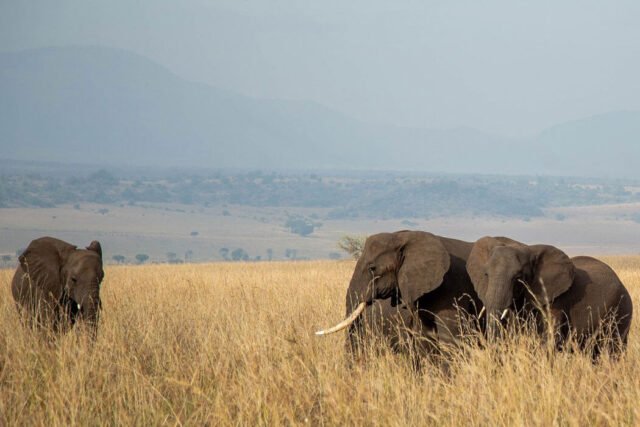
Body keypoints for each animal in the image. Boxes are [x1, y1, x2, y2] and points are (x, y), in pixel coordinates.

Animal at [466, 236, 633, 358]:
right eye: (486, 274)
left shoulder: (556, 301)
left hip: (621, 311)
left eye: (518, 278)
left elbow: (551, 339)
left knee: (612, 351)